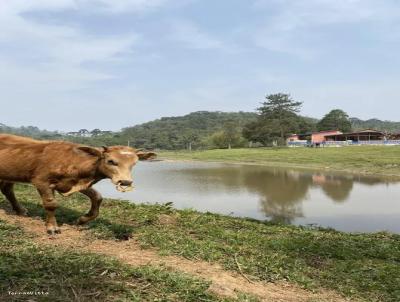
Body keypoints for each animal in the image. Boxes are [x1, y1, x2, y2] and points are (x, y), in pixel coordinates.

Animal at [0, 133, 156, 235]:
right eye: (111, 161)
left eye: (134, 163)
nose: (125, 181)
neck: (72, 160)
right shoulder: (42, 181)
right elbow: (51, 204)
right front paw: (52, 227)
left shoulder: (77, 183)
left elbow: (97, 197)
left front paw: (83, 220)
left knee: (7, 189)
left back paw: (20, 210)